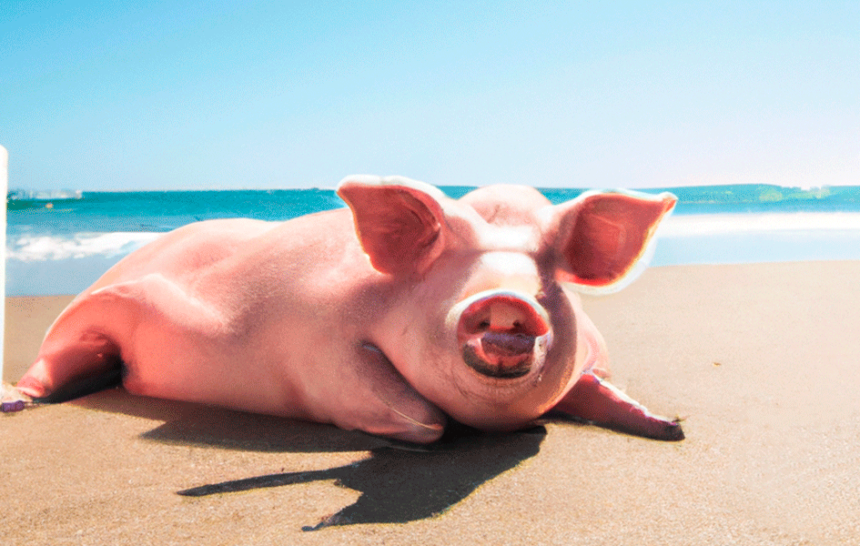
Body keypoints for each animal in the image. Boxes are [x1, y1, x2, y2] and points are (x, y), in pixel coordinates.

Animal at [16, 175, 683, 443]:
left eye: (546, 279)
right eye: (452, 269)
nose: (506, 300)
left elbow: (595, 386)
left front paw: (671, 428)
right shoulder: (314, 344)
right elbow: (420, 417)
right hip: (89, 313)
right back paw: (14, 402)